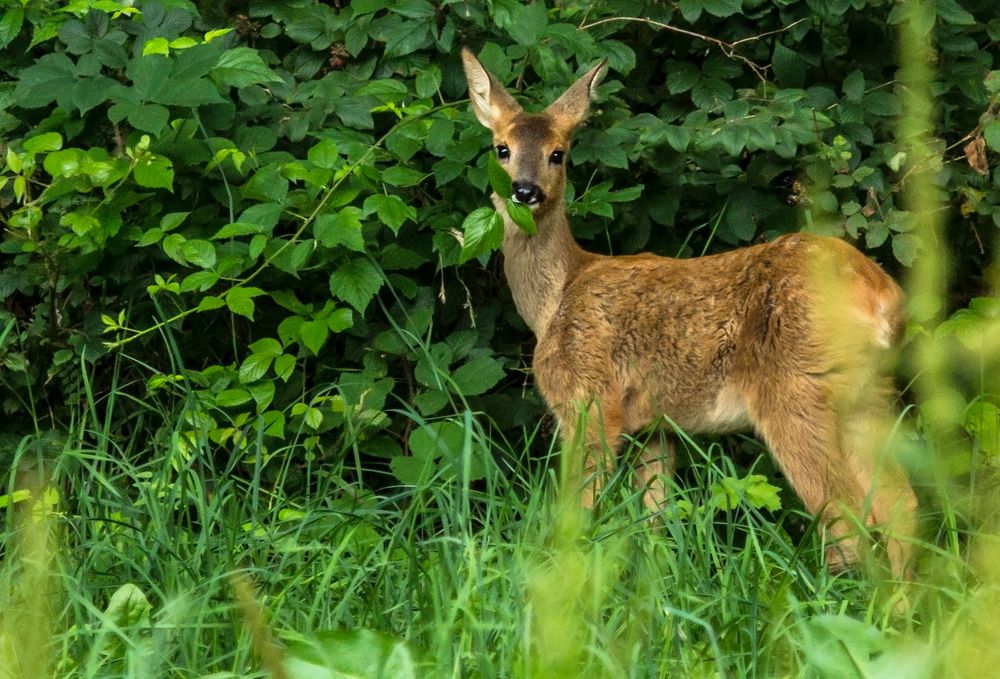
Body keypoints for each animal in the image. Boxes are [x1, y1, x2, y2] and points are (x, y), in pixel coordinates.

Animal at [458, 47, 916, 576]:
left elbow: (578, 511)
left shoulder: (589, 401)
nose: (525, 192)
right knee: (901, 507)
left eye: (559, 154)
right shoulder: (655, 429)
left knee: (847, 518)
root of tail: (880, 294)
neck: (555, 299)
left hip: (796, 389)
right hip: (869, 393)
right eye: (501, 149)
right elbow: (654, 525)